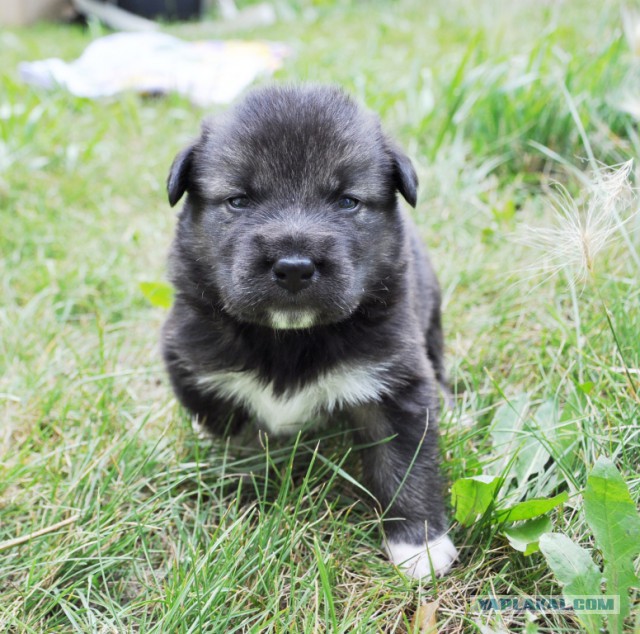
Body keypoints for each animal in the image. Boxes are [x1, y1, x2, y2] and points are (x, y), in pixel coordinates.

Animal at [162, 84, 458, 576]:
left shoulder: (394, 381)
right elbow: (226, 429)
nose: (295, 268)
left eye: (347, 201)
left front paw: (420, 545)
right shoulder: (189, 356)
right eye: (239, 200)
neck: (289, 337)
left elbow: (404, 463)